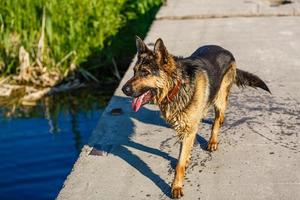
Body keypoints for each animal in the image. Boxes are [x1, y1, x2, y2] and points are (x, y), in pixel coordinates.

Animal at [120, 36, 270, 198]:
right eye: (134, 71)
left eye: (145, 72)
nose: (123, 89)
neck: (176, 86)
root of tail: (225, 50)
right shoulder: (184, 127)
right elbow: (183, 152)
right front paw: (186, 159)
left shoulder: (188, 129)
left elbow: (179, 164)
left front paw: (176, 186)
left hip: (220, 99)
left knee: (216, 120)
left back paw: (213, 140)